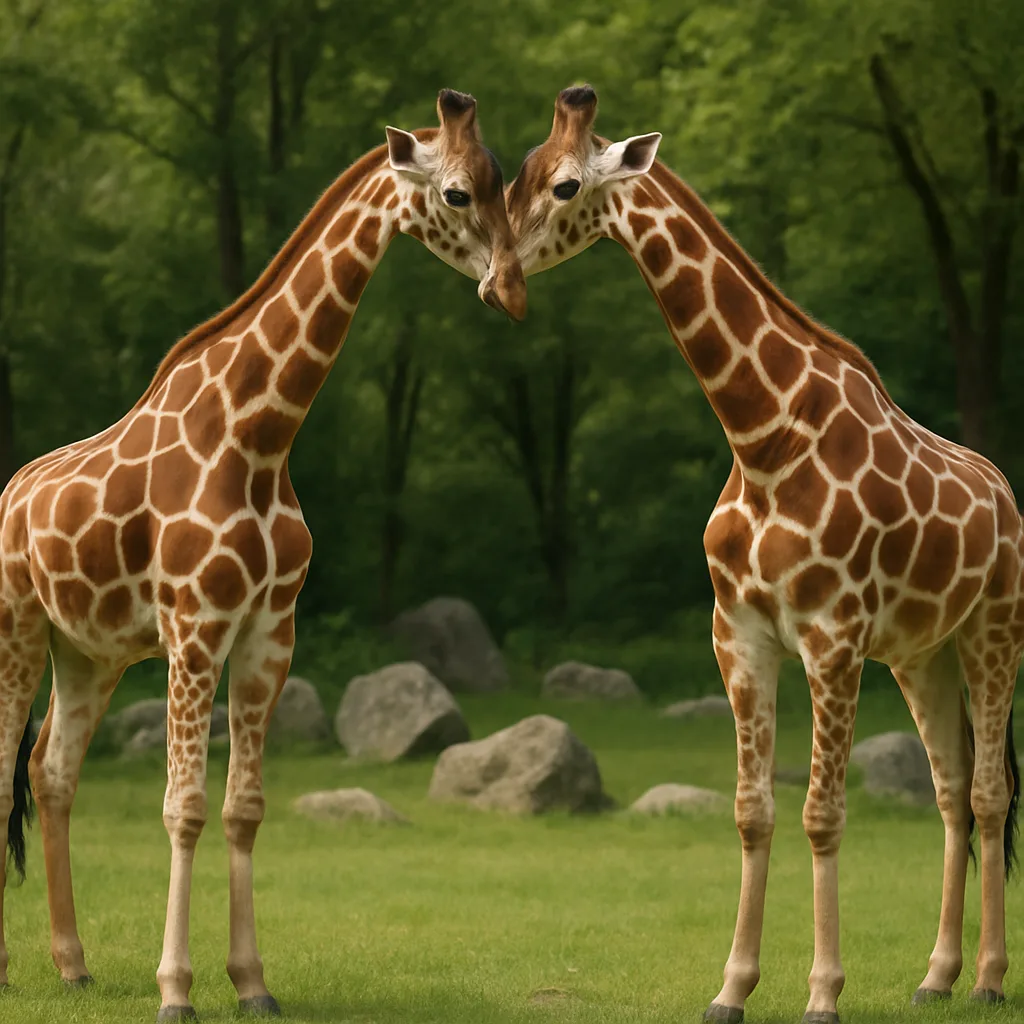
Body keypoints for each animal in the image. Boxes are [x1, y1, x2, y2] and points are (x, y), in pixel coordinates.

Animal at [0, 89, 524, 1021]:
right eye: (458, 192)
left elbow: (243, 806)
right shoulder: (195, 627)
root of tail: (8, 494)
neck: (258, 433)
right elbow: (182, 806)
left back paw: (73, 965)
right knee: (1, 776)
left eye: (507, 181)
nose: (510, 286)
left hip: (88, 653)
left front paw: (251, 982)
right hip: (17, 629)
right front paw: (176, 990)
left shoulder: (268, 635)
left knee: (51, 773)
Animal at [505, 85, 1022, 1023]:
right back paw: (937, 975)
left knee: (991, 792)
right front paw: (732, 988)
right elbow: (753, 811)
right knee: (952, 793)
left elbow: (822, 813)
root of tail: (1005, 493)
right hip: (921, 655)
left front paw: (823, 993)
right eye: (513, 173)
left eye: (563, 185)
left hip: (995, 630)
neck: (763, 436)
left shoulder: (832, 639)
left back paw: (992, 979)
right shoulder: (739, 635)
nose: (497, 277)